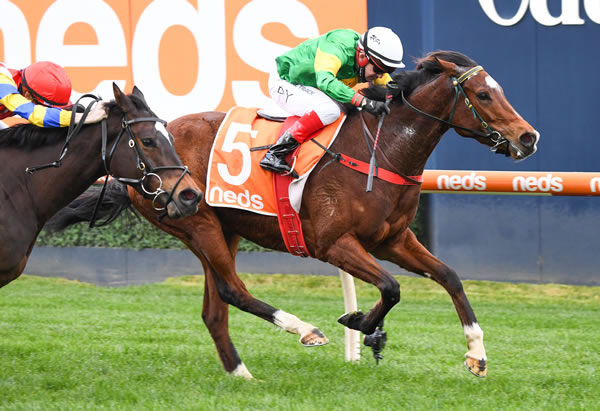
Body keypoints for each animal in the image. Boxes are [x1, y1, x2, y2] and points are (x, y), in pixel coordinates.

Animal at [50, 51, 540, 380]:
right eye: (482, 94)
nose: (528, 137)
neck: (381, 149)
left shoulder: (393, 239)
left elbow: (450, 277)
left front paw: (476, 354)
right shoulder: (333, 243)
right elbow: (391, 287)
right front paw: (361, 325)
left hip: (224, 228)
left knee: (215, 309)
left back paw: (242, 375)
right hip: (195, 222)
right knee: (231, 290)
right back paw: (304, 330)